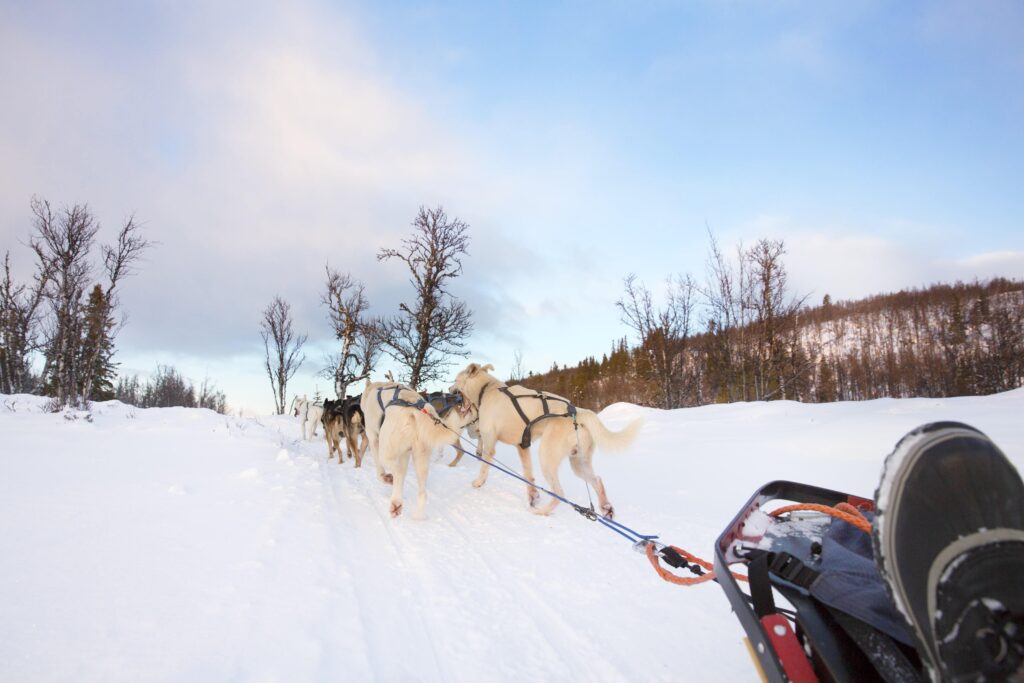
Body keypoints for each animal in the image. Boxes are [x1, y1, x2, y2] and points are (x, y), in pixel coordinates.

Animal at [364, 385, 479, 518]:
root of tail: (415, 411)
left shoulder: (373, 439)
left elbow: (380, 473)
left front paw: (386, 478)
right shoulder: (405, 453)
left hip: (386, 451)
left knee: (398, 472)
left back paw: (395, 501)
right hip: (421, 459)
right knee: (422, 492)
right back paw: (415, 516)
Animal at [448, 362, 638, 518]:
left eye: (455, 380)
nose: (449, 389)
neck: (486, 389)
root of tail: (578, 412)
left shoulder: (489, 444)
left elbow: (484, 468)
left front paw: (478, 483)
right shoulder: (522, 446)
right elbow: (528, 475)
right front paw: (532, 494)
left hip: (547, 458)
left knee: (559, 493)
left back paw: (542, 511)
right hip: (578, 463)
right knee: (597, 480)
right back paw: (606, 507)